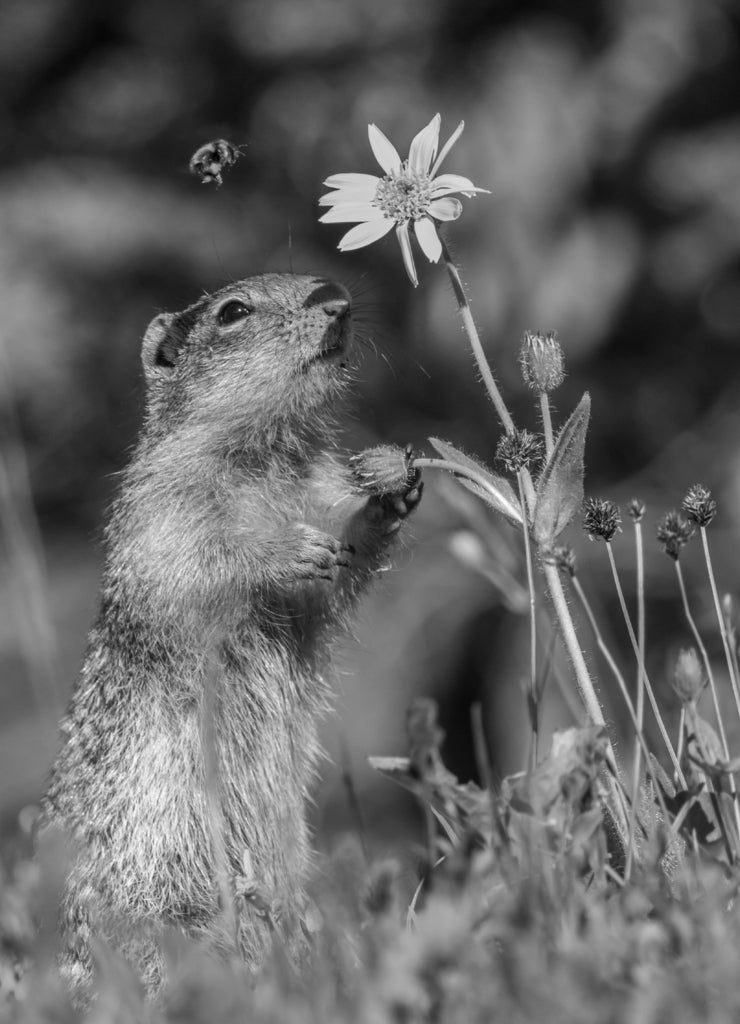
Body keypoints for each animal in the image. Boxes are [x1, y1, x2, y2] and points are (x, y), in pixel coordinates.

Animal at [40, 273, 422, 994]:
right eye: (233, 311)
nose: (336, 297)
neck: (269, 454)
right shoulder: (161, 506)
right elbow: (200, 561)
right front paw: (285, 551)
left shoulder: (315, 491)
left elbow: (337, 573)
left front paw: (392, 481)